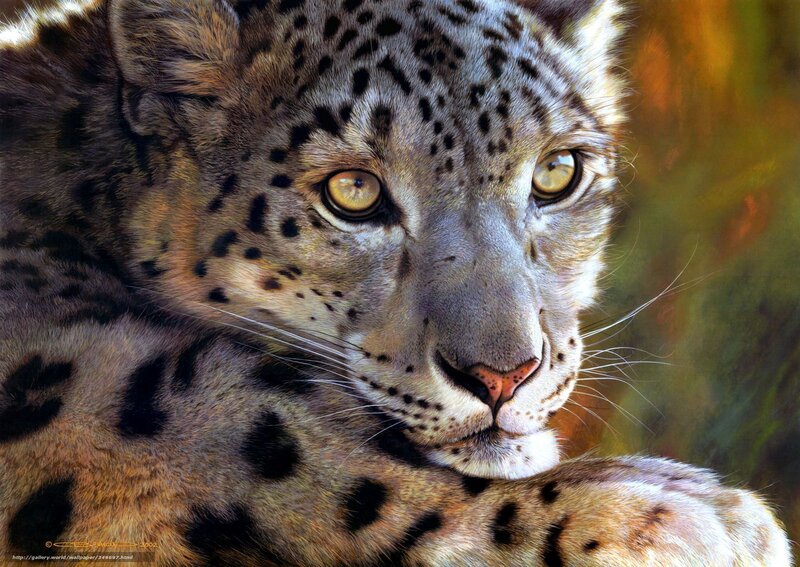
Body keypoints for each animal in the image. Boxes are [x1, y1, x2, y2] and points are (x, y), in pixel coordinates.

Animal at [0, 0, 792, 565]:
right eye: (352, 191)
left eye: (557, 172)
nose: (504, 375)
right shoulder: (73, 363)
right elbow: (248, 428)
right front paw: (675, 516)